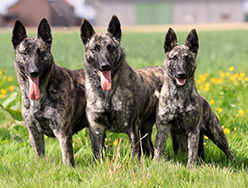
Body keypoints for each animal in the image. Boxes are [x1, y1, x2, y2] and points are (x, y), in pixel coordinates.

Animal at [11, 18, 87, 167]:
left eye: (41, 52)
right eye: (24, 53)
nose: (34, 72)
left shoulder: (63, 132)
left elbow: (67, 158)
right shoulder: (34, 132)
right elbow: (39, 154)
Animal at [154, 27, 235, 167]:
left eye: (188, 58)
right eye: (174, 58)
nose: (181, 74)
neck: (178, 95)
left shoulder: (193, 131)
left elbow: (192, 154)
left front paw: (191, 168)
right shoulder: (163, 128)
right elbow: (158, 151)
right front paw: (155, 165)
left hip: (217, 134)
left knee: (228, 151)